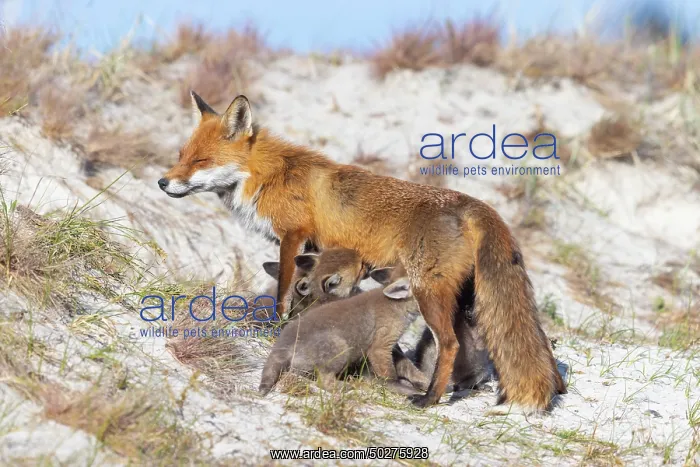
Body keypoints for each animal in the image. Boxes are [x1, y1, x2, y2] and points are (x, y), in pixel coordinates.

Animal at [258, 266, 428, 396]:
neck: (396, 305)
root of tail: (281, 346)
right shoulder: (380, 346)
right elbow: (390, 376)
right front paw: (401, 388)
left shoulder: (391, 348)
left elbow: (408, 366)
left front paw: (423, 382)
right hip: (341, 348)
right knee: (323, 382)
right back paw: (346, 386)